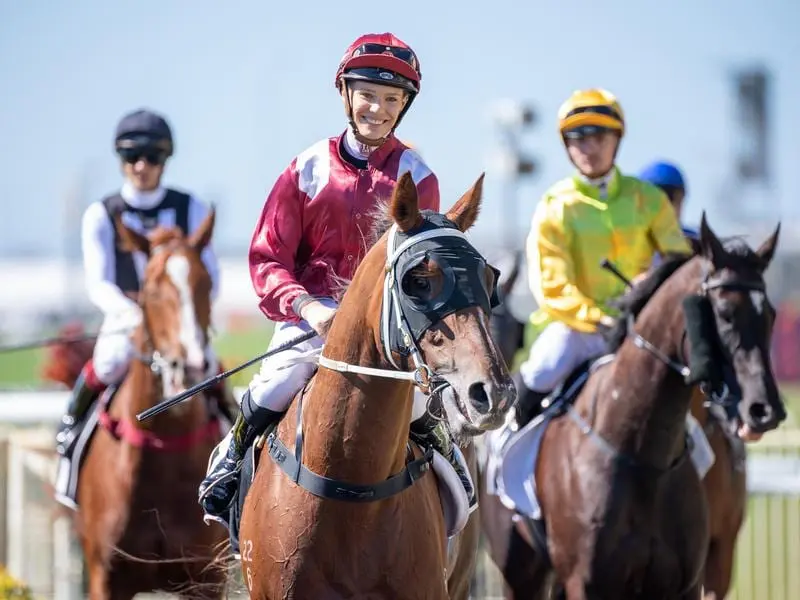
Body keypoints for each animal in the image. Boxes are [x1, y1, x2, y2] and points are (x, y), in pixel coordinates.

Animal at [478, 217, 784, 600]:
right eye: (725, 314)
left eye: (771, 314)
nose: (764, 409)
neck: (640, 456)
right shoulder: (585, 583)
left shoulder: (691, 578)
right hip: (521, 572)